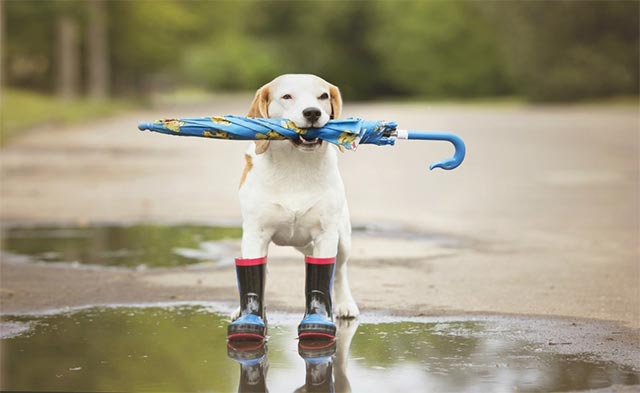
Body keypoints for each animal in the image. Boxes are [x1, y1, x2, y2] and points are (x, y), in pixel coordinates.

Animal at [230, 73, 360, 340]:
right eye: (287, 96)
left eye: (323, 96)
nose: (312, 112)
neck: (295, 162)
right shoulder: (255, 235)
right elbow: (255, 275)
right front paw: (252, 315)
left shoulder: (325, 235)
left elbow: (324, 275)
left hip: (342, 239)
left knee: (339, 271)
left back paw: (344, 303)